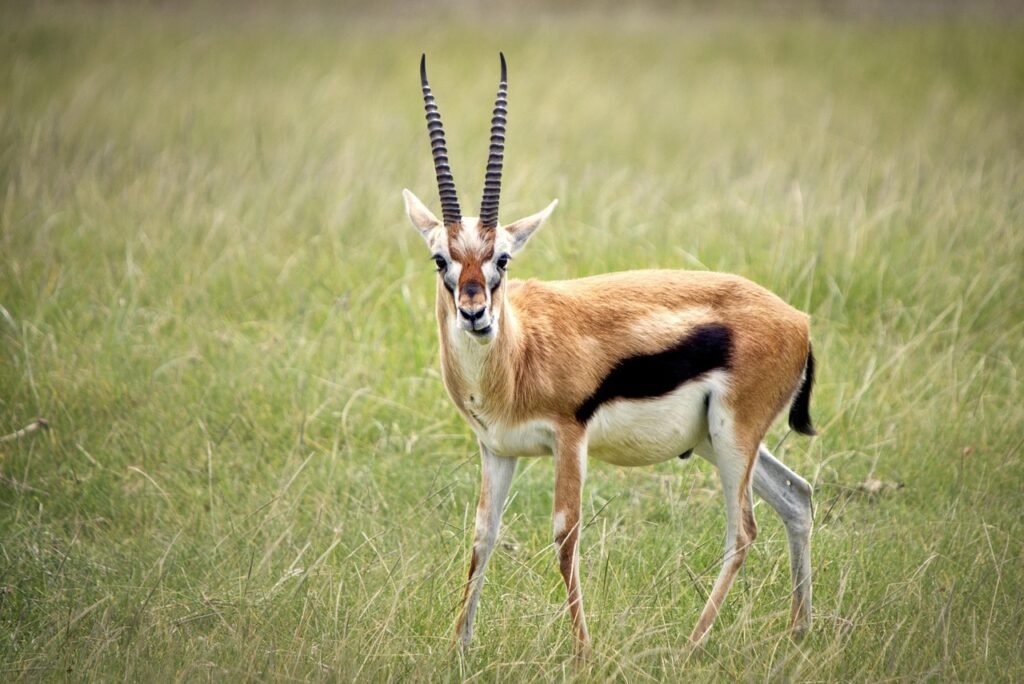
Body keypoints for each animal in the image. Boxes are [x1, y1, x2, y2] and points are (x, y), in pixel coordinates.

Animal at [403, 54, 817, 658]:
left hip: (733, 437)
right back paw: (797, 633)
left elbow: (564, 536)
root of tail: (798, 320)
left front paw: (583, 653)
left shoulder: (569, 440)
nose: (475, 313)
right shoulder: (496, 450)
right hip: (717, 442)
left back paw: (691, 645)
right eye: (441, 260)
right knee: (797, 497)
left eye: (502, 258)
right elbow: (483, 535)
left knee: (743, 530)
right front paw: (459, 648)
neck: (518, 354)